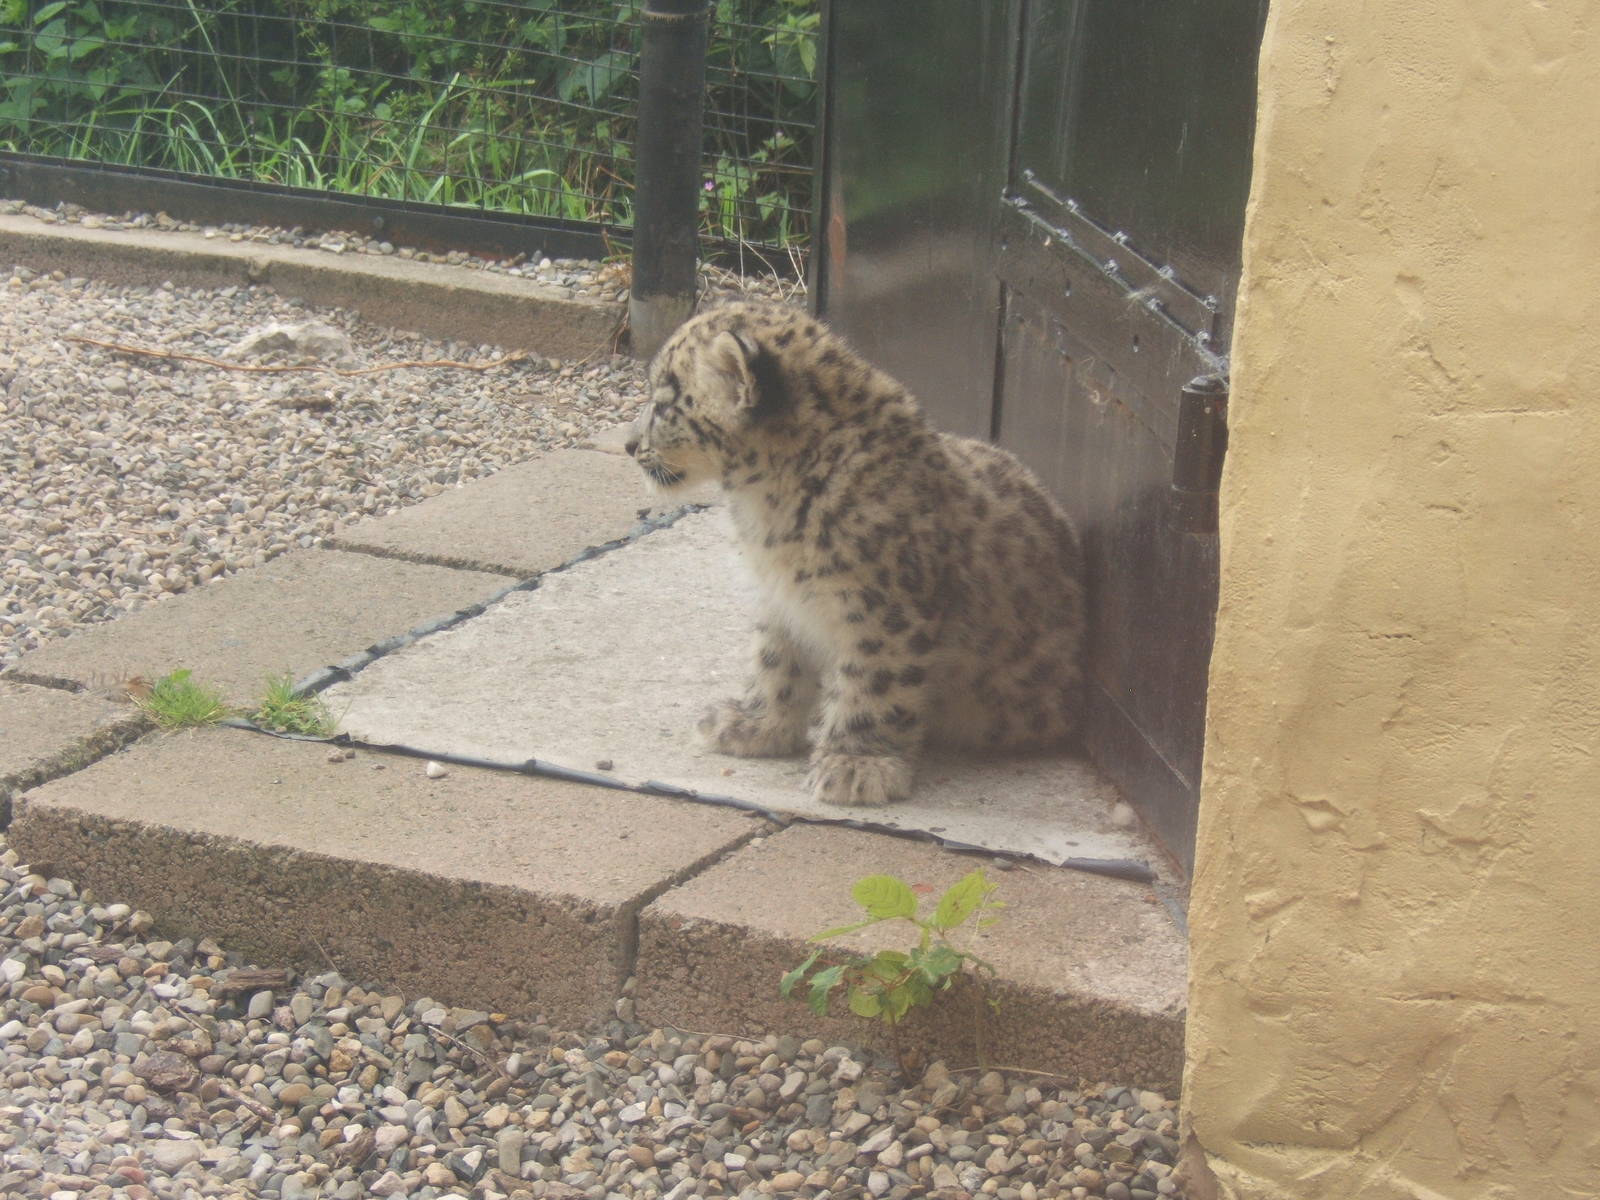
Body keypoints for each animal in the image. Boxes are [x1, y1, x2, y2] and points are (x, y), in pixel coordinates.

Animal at [626, 301, 1086, 808]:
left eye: (664, 405)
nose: (629, 445)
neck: (765, 507)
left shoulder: (883, 608)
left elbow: (873, 684)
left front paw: (855, 764)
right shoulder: (778, 599)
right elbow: (774, 661)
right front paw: (754, 725)